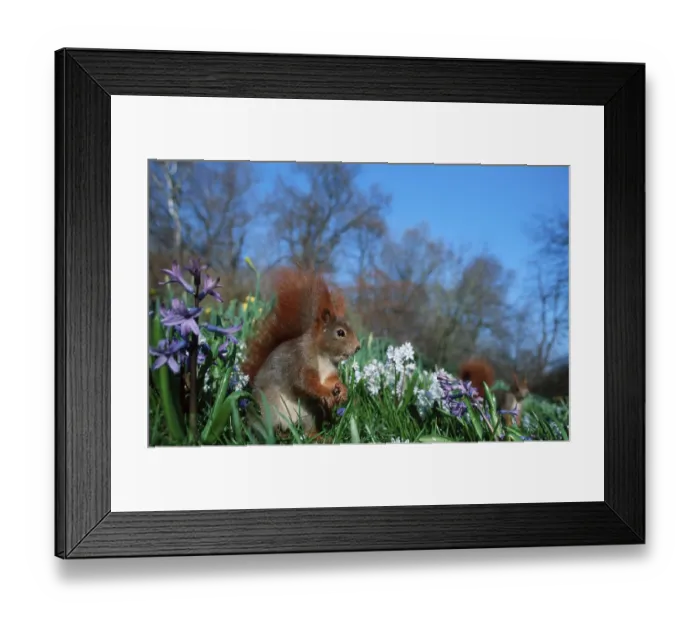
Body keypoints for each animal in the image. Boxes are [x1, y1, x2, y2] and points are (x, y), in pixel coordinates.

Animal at [241, 266, 362, 439]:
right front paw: (325, 393)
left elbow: (331, 381)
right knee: (268, 427)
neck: (324, 357)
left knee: (309, 429)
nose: (358, 347)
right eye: (340, 333)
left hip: (310, 412)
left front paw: (342, 389)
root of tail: (290, 425)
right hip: (269, 410)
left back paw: (319, 438)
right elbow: (304, 382)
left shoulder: (329, 372)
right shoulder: (300, 361)